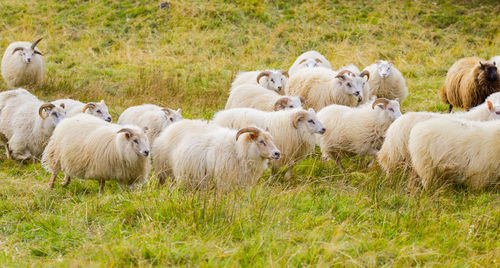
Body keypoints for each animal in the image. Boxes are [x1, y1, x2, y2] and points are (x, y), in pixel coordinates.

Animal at [151, 119, 282, 191]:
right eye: (261, 141)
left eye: (272, 140)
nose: (277, 153)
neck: (238, 150)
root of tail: (170, 128)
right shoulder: (225, 182)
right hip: (165, 172)